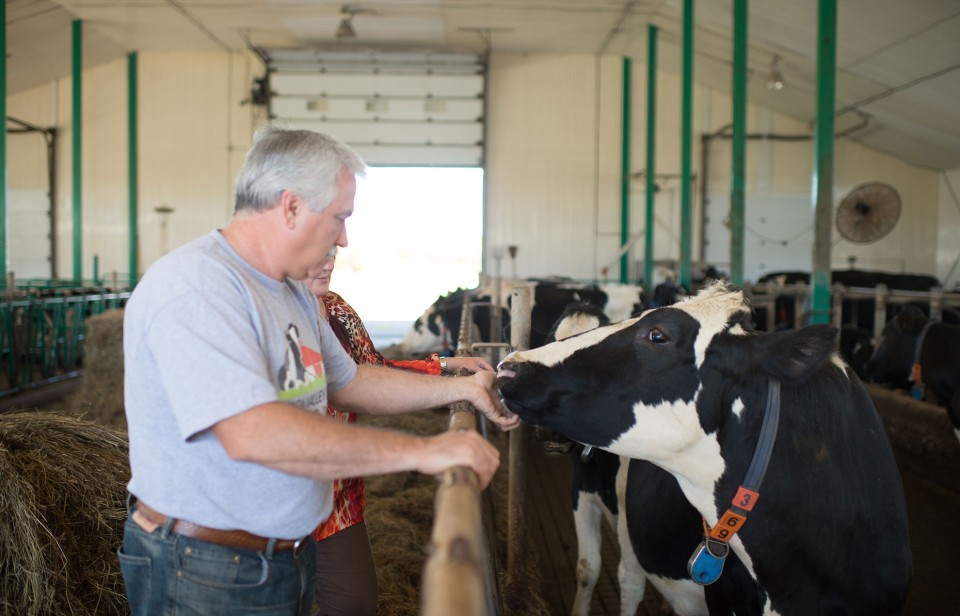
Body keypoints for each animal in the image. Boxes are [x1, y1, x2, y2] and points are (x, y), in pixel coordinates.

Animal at [498, 282, 912, 612]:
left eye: (658, 335)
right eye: (552, 333)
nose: (508, 366)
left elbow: (627, 581)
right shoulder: (582, 492)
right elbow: (589, 569)